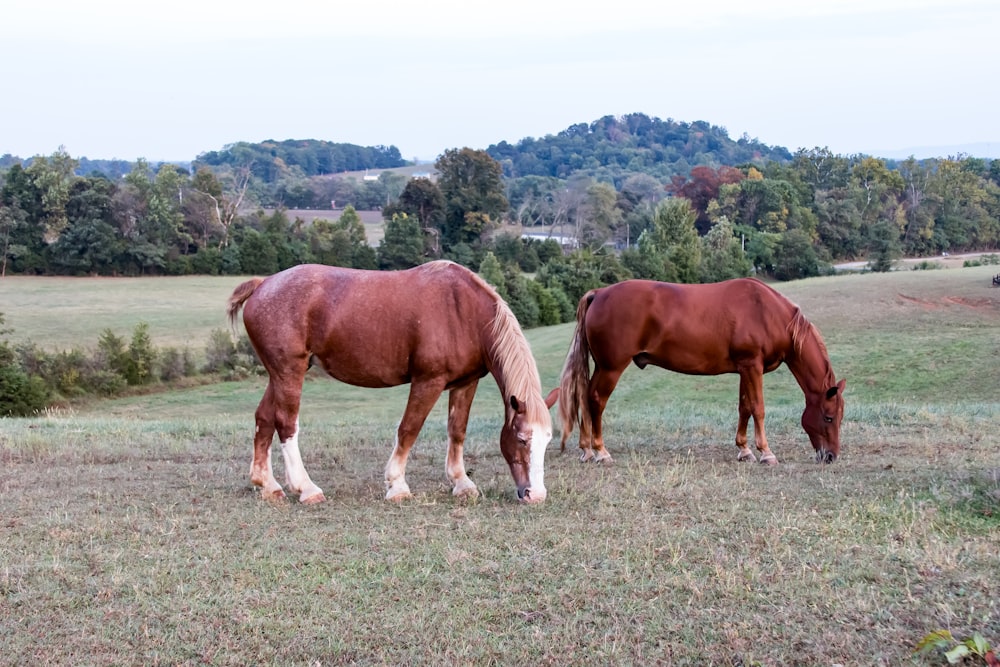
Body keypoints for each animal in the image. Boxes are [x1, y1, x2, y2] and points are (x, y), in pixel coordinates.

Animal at [228, 260, 556, 506]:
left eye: (547, 440)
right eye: (522, 439)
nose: (536, 495)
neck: (463, 312)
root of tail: (263, 284)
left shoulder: (466, 383)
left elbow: (457, 431)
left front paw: (462, 483)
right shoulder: (428, 381)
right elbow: (409, 429)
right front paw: (397, 485)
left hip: (279, 374)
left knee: (264, 418)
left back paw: (268, 485)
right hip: (289, 371)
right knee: (286, 423)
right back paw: (306, 488)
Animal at [560, 280, 848, 468]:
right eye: (829, 417)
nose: (830, 456)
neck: (767, 313)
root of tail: (599, 293)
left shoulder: (745, 369)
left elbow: (744, 407)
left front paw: (744, 450)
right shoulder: (752, 367)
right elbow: (758, 408)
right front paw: (766, 453)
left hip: (603, 367)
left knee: (585, 397)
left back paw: (586, 449)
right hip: (611, 368)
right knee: (596, 400)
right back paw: (600, 451)